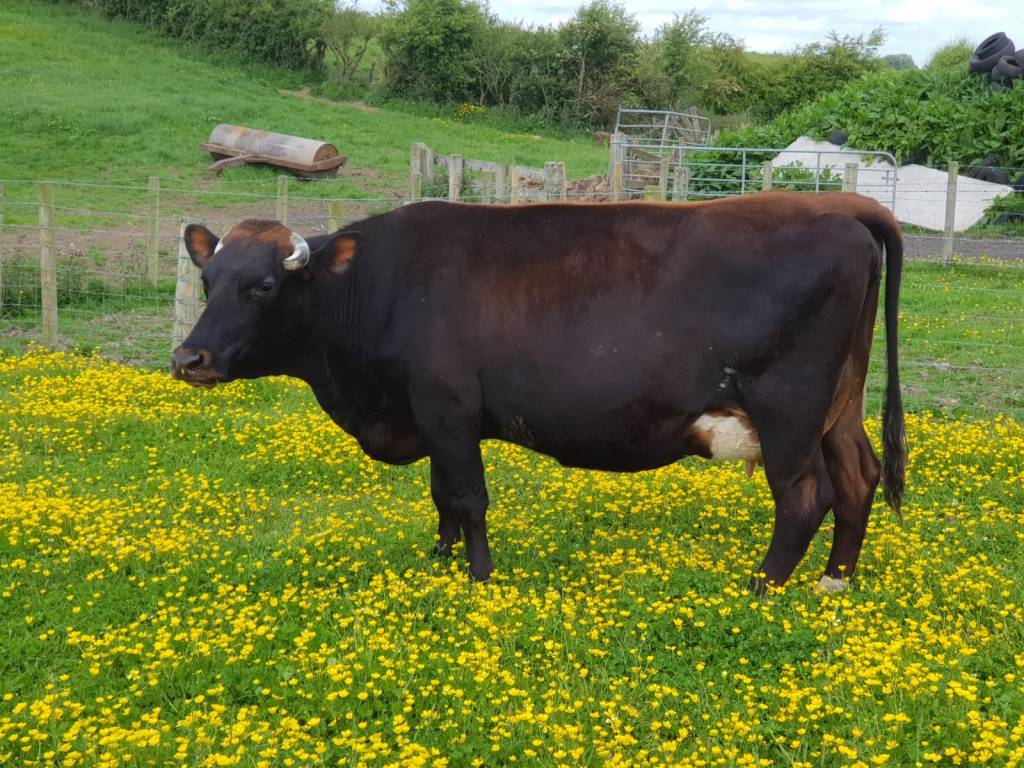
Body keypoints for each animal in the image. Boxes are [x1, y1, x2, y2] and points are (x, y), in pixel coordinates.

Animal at [172, 191, 906, 593]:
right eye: (208, 281)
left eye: (263, 287)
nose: (188, 357)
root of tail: (839, 208)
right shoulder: (429, 415)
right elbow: (441, 495)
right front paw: (437, 563)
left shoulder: (446, 408)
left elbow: (468, 497)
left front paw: (479, 577)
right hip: (839, 406)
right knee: (858, 477)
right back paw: (834, 581)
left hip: (788, 411)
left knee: (805, 498)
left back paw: (761, 588)